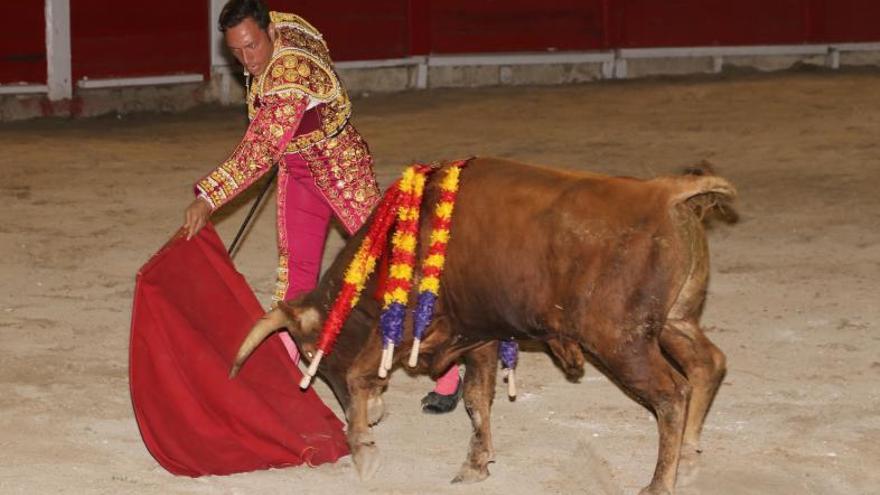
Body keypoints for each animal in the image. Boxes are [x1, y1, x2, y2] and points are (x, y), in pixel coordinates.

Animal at [229, 158, 736, 495]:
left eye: (309, 352)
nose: (369, 414)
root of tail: (664, 192)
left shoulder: (411, 322)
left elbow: (358, 373)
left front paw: (365, 451)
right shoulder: (478, 334)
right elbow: (476, 399)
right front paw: (476, 464)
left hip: (621, 341)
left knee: (671, 394)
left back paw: (659, 483)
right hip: (673, 322)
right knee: (708, 364)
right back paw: (688, 456)